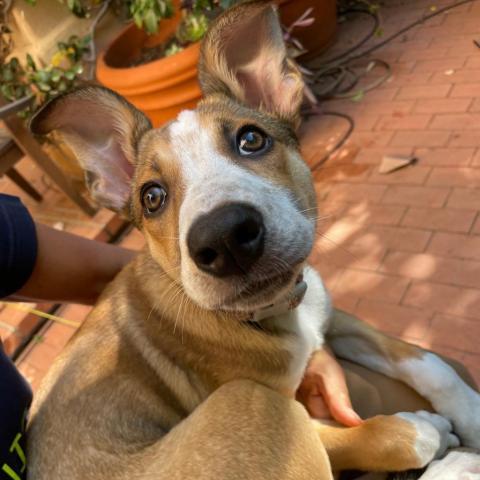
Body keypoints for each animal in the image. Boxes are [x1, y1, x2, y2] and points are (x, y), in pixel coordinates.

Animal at [27, 1, 480, 478]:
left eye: (251, 139)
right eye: (151, 197)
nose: (224, 238)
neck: (275, 316)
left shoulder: (328, 312)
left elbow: (425, 360)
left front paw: (471, 411)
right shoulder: (293, 411)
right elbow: (368, 435)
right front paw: (425, 432)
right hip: (250, 402)